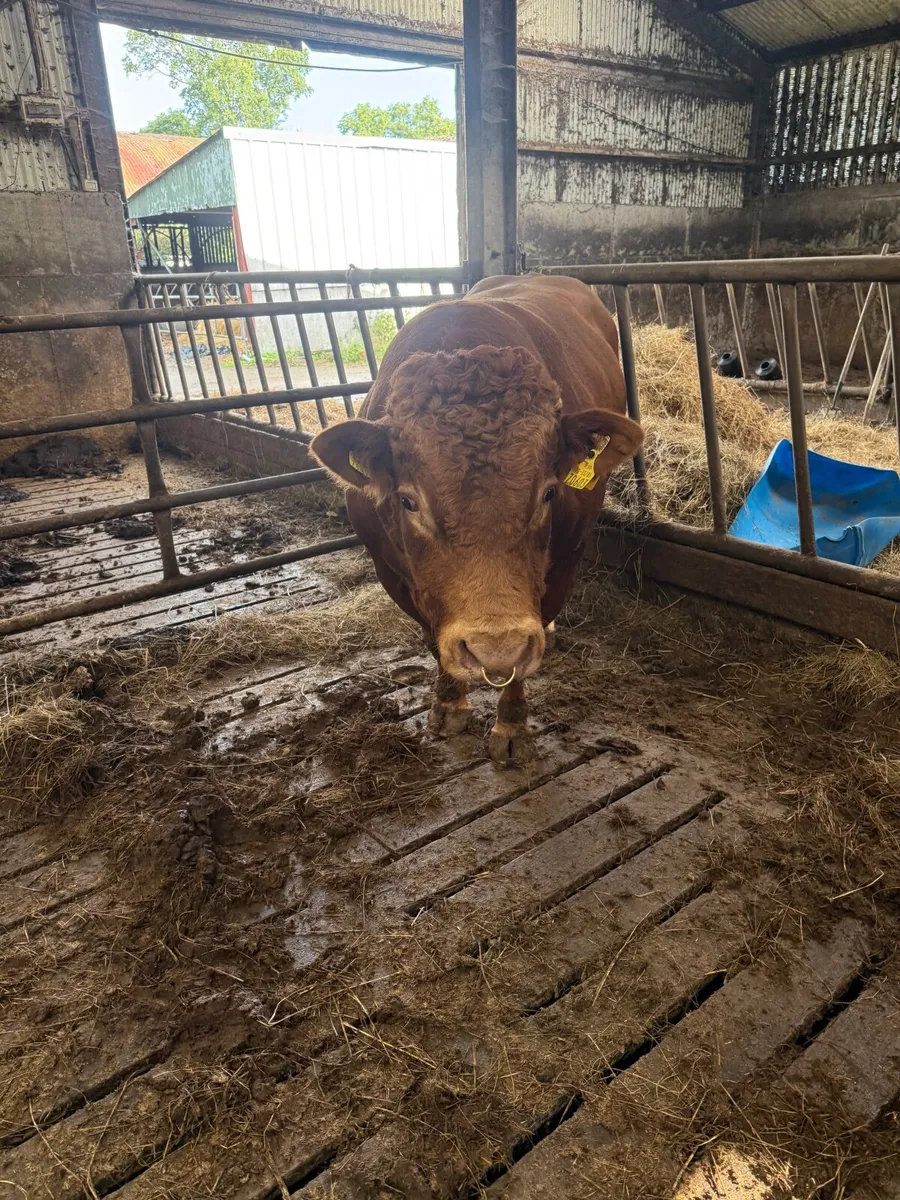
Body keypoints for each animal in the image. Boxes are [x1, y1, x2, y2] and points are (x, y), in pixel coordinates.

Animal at [310, 274, 643, 766]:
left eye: (549, 492)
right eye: (408, 501)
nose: (494, 648)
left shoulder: (564, 563)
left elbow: (523, 657)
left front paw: (512, 726)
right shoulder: (393, 573)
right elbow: (432, 639)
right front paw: (449, 704)